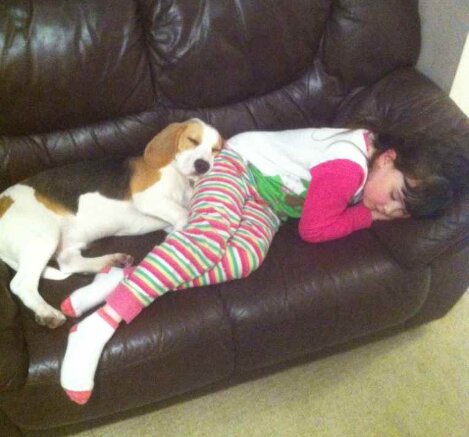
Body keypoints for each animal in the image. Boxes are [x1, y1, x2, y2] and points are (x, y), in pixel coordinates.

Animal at [0, 118, 223, 328]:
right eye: (192, 140)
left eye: (215, 150)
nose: (203, 165)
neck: (180, 176)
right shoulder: (148, 198)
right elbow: (183, 213)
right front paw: (179, 235)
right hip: (43, 237)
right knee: (21, 284)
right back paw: (47, 312)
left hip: (68, 241)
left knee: (68, 263)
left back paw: (112, 261)